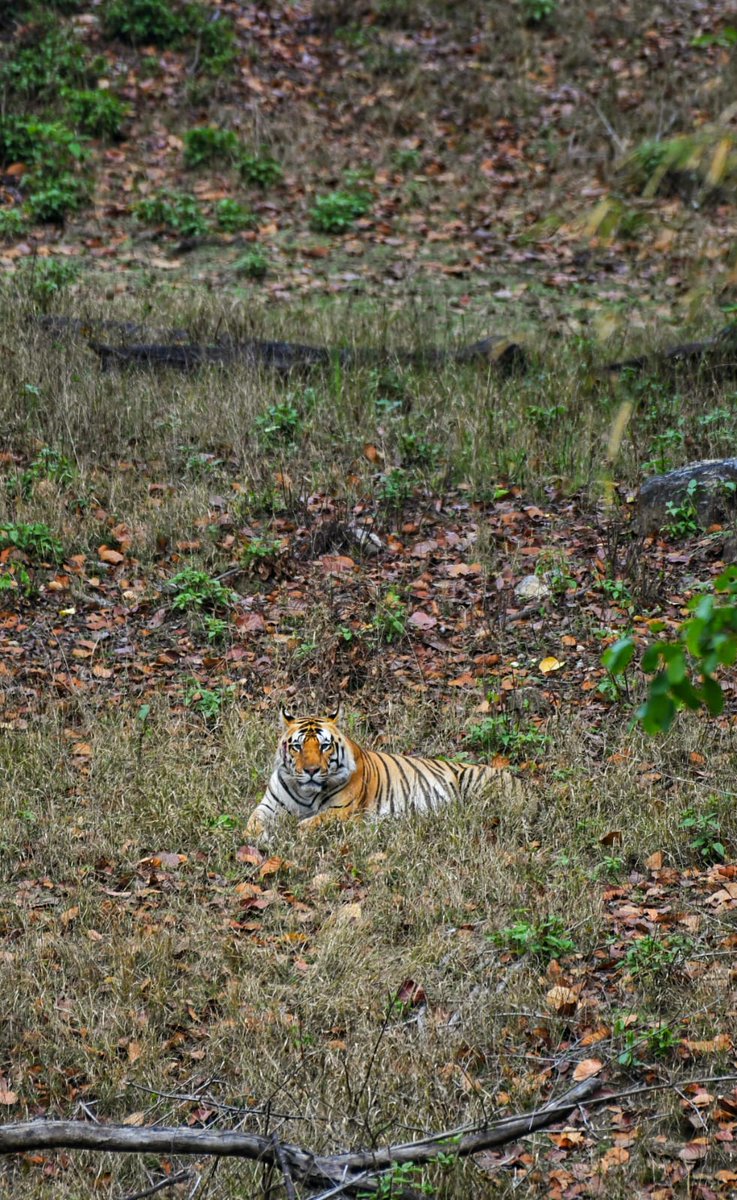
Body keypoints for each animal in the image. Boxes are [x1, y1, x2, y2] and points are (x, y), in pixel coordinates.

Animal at [245, 706, 525, 838]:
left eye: (324, 746)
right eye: (297, 746)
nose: (312, 770)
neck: (306, 793)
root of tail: (522, 783)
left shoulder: (340, 811)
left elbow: (308, 824)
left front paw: (293, 832)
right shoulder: (269, 805)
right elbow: (253, 822)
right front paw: (257, 838)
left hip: (476, 786)